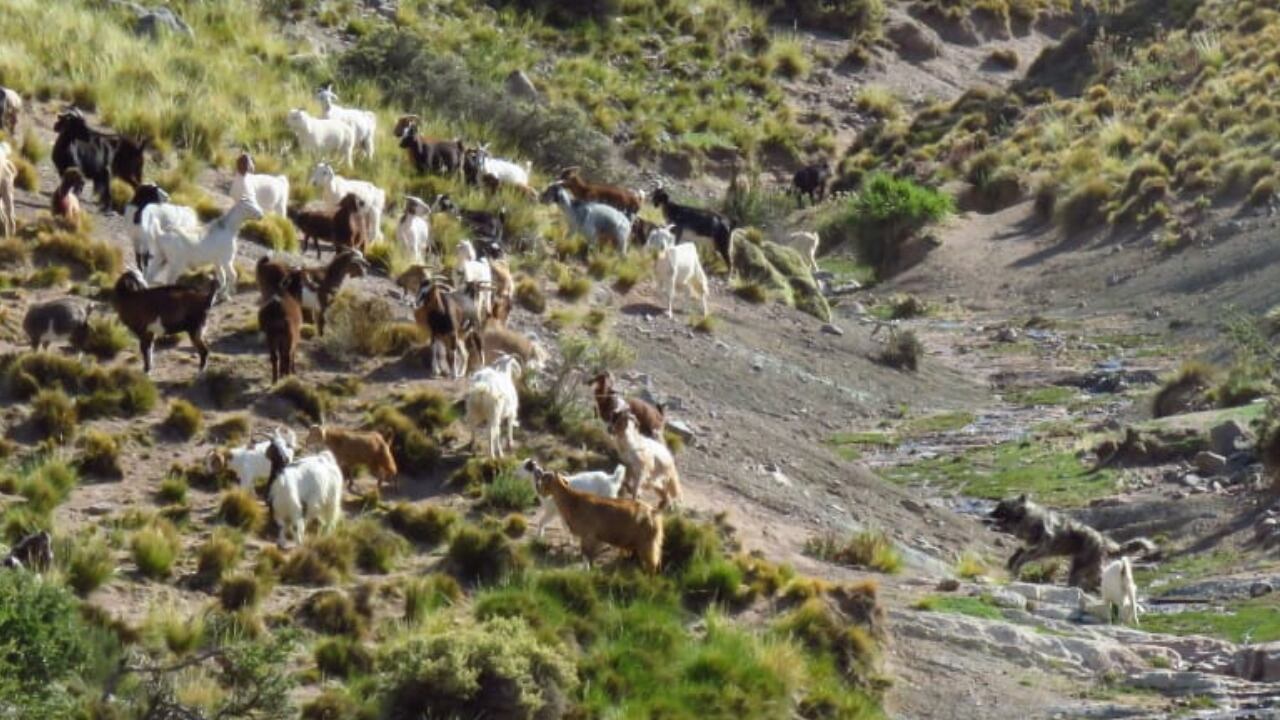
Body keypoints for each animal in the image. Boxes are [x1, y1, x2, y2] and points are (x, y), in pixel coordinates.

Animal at [529, 461, 660, 568]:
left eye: (544, 480)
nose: (538, 490)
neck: (573, 500)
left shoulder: (587, 534)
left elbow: (585, 555)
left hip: (646, 544)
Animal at [983, 491, 1157, 589]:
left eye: (1001, 507)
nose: (988, 514)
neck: (1025, 518)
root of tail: (1104, 541)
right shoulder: (1027, 546)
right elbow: (1017, 553)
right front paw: (1010, 565)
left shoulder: (1040, 548)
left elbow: (1023, 557)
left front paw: (1015, 568)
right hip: (1079, 565)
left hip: (1083, 564)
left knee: (1094, 578)